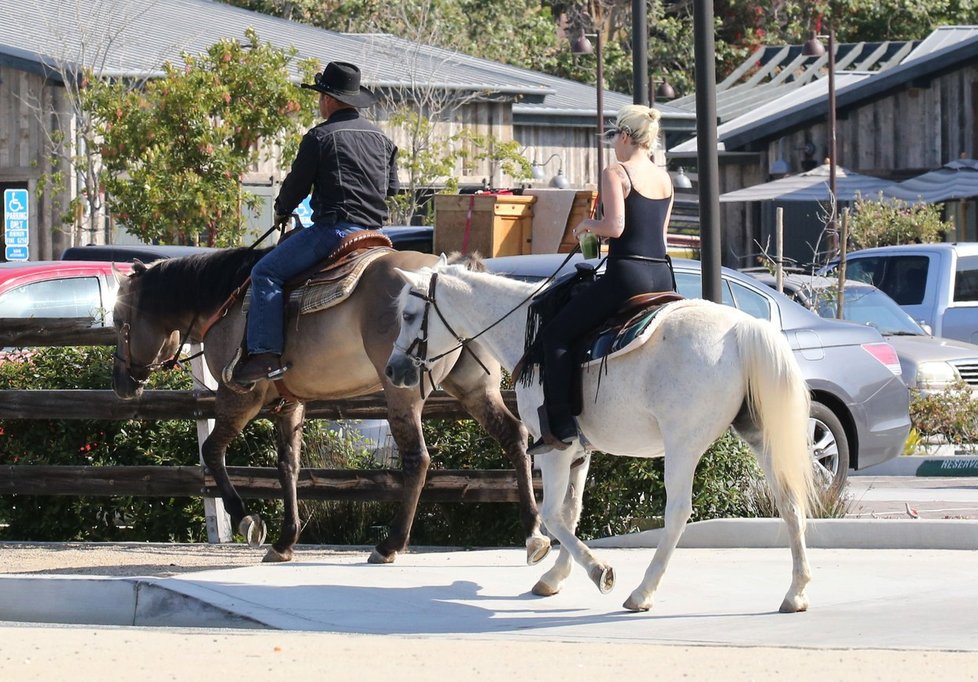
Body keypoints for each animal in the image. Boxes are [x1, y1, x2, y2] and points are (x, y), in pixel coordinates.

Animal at [112, 244, 548, 564]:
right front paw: (285, 541)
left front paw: (246, 519)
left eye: (118, 320)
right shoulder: (289, 404)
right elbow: (288, 467)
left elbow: (212, 452)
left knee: (418, 460)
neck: (226, 299)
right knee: (514, 437)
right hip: (475, 387)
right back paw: (533, 532)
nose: (121, 385)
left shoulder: (238, 395)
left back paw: (390, 544)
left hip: (402, 388)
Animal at [386, 258, 820, 612]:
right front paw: (555, 576)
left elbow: (552, 514)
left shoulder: (553, 450)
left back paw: (643, 592)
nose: (392, 370)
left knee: (678, 512)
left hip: (682, 446)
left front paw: (597, 570)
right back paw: (796, 592)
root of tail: (743, 326)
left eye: (408, 314)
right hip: (761, 437)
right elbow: (571, 511)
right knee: (789, 502)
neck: (529, 331)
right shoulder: (579, 451)